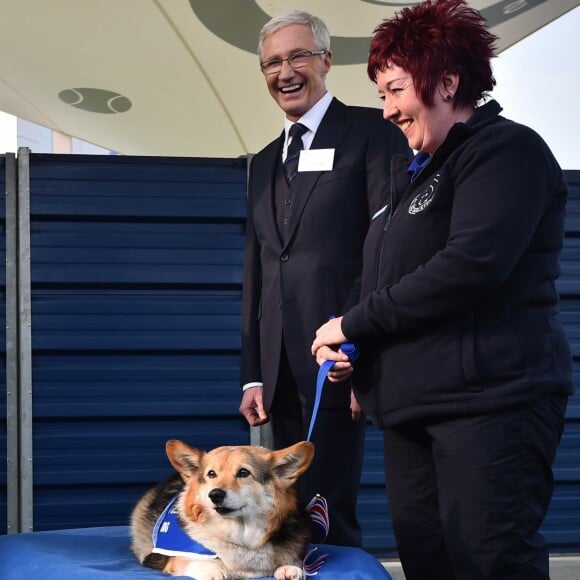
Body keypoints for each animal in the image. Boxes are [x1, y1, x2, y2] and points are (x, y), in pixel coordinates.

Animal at [130, 440, 314, 580]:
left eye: (243, 472)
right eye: (211, 474)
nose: (215, 495)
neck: (239, 535)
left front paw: (289, 568)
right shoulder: (171, 558)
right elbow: (194, 561)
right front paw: (214, 570)